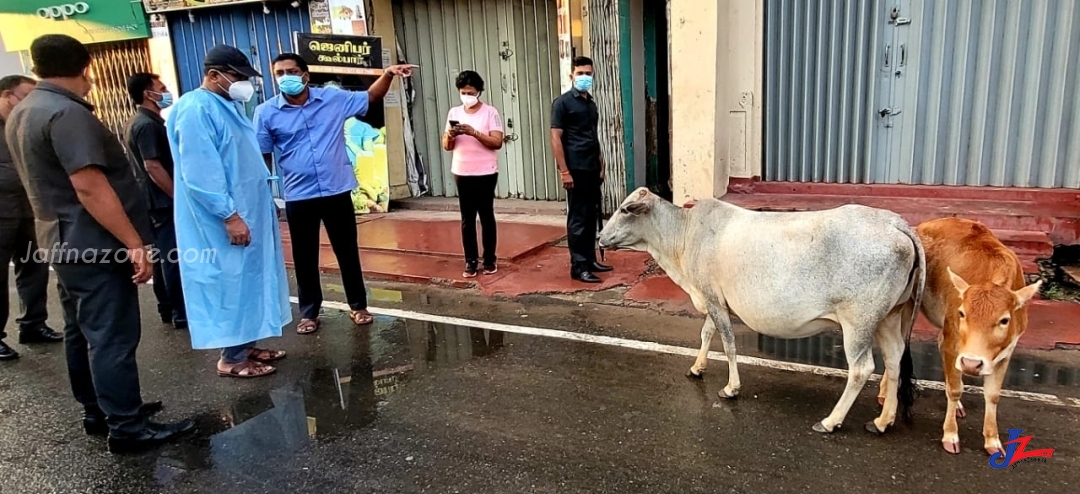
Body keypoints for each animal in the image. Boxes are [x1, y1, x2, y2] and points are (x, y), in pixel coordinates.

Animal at [596, 187, 924, 432]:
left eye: (625, 209)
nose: (599, 237)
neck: (684, 235)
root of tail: (895, 223)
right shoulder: (714, 301)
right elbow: (706, 335)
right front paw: (697, 368)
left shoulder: (713, 300)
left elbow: (728, 345)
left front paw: (731, 388)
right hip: (889, 317)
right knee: (894, 359)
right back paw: (882, 421)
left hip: (859, 322)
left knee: (861, 368)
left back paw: (831, 421)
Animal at [911, 217, 1036, 456]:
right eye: (962, 313)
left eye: (1004, 320)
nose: (971, 363)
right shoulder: (952, 339)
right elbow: (954, 389)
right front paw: (950, 435)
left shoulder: (1007, 351)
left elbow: (993, 394)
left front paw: (992, 440)